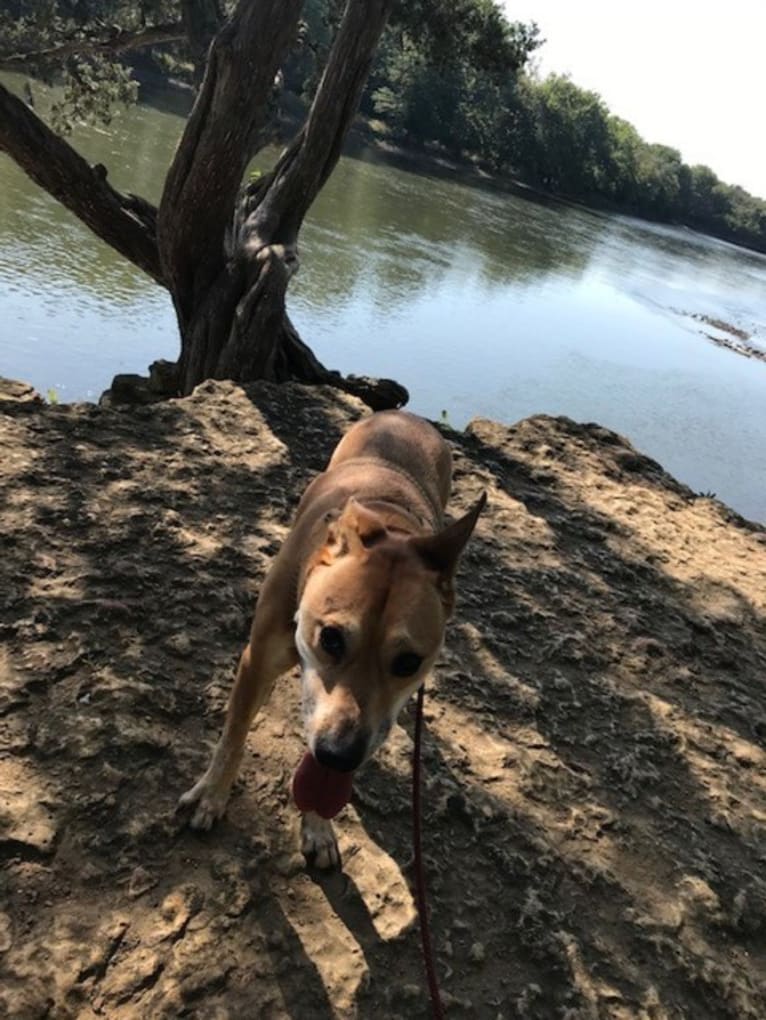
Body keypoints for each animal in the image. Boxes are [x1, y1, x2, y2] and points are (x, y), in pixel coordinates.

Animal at [178, 410, 485, 864]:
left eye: (408, 663)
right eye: (331, 639)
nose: (340, 755)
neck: (390, 529)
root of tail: (406, 414)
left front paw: (318, 827)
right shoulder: (257, 659)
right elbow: (233, 736)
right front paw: (211, 796)